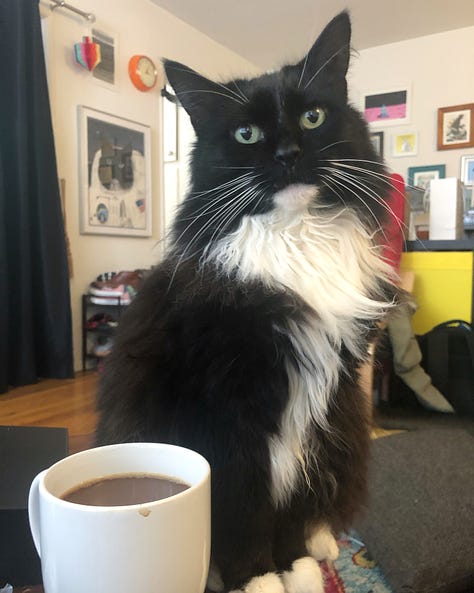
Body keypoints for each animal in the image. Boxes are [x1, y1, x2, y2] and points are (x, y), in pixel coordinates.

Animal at [96, 11, 400, 592]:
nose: (287, 155)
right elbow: (243, 501)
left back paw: (321, 544)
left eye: (312, 117)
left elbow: (293, 498)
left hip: (348, 426)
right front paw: (256, 577)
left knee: (325, 503)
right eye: (246, 133)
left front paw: (295, 567)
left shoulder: (322, 403)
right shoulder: (227, 412)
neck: (296, 238)